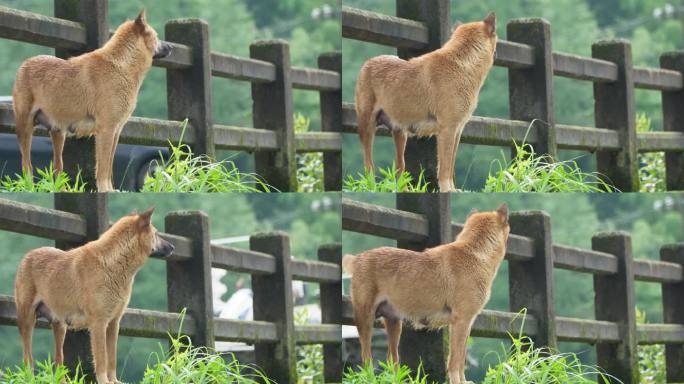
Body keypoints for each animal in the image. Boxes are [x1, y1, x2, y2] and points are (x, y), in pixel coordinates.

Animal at [12, 10, 172, 192]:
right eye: (156, 36)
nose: (171, 47)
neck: (121, 65)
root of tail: (24, 64)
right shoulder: (106, 130)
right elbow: (102, 167)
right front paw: (104, 190)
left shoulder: (116, 131)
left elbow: (108, 166)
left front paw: (110, 190)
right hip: (25, 127)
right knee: (26, 164)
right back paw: (29, 186)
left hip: (58, 133)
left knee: (57, 167)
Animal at [14, 208, 174, 382]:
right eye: (156, 234)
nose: (173, 247)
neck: (112, 264)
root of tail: (27, 256)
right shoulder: (99, 323)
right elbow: (102, 359)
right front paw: (104, 381)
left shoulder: (114, 323)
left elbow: (112, 358)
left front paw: (114, 381)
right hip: (27, 320)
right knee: (27, 358)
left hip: (60, 327)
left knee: (58, 360)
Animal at [342, 204, 508, 380]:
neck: (475, 252)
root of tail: (358, 258)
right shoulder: (461, 321)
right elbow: (455, 361)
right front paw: (456, 381)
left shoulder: (467, 322)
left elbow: (462, 359)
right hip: (365, 319)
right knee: (366, 358)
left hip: (394, 324)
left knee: (391, 359)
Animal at [358, 12, 496, 192]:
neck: (463, 64)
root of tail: (368, 62)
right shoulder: (447, 129)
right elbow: (444, 167)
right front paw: (446, 190)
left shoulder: (458, 130)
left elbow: (450, 166)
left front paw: (453, 189)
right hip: (368, 127)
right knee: (369, 165)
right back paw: (372, 186)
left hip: (400, 134)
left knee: (399, 167)